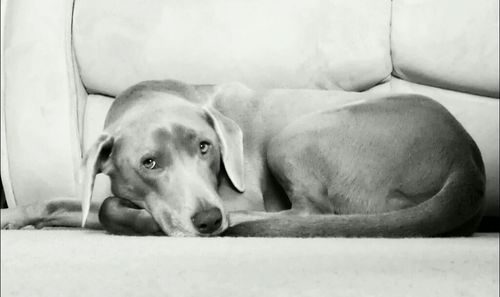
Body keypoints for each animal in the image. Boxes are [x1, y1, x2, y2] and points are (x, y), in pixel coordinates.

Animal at [0, 79, 484, 236]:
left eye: (205, 147)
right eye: (149, 163)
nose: (209, 220)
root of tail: (467, 160)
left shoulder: (233, 195)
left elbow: (106, 208)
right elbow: (68, 202)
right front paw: (14, 216)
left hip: (294, 135)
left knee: (309, 213)